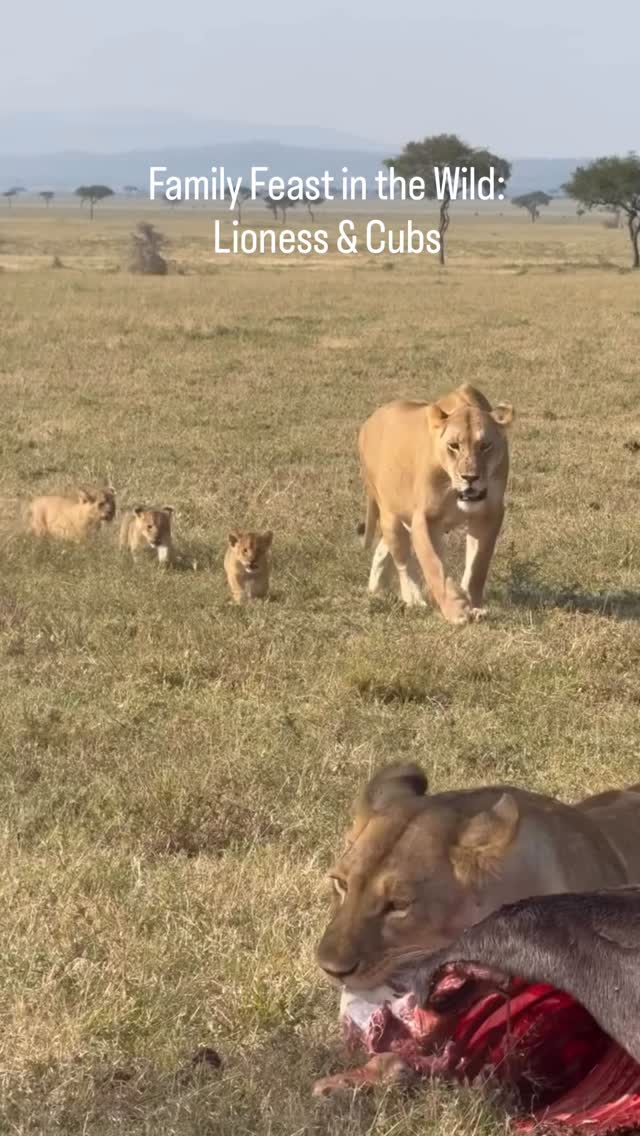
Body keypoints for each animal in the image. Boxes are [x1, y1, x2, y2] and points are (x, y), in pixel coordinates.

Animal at [358, 384, 514, 624]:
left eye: (485, 445)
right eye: (454, 446)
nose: (470, 478)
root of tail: (369, 422)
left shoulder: (489, 513)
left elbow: (478, 565)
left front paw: (473, 606)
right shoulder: (424, 517)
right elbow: (434, 566)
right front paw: (457, 610)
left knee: (385, 548)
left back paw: (376, 589)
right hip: (390, 514)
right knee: (402, 560)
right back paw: (413, 600)